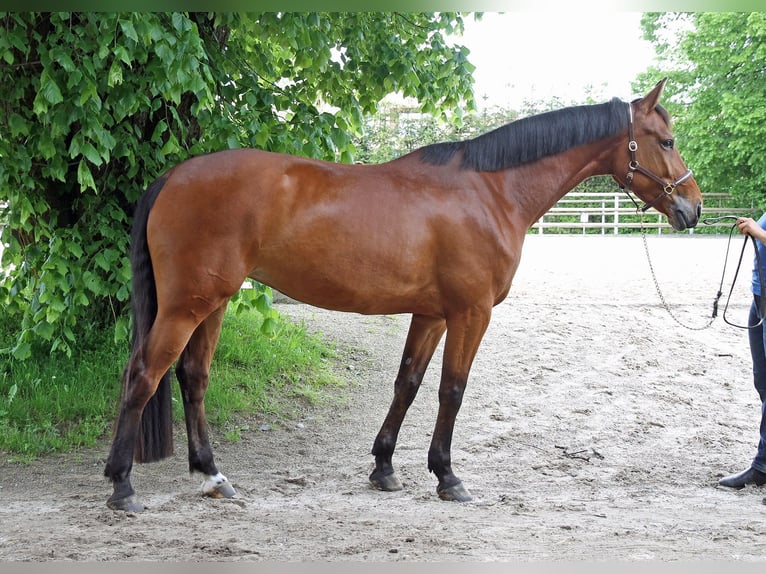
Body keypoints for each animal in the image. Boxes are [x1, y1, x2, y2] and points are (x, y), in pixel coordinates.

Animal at [105, 77, 704, 512]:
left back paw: (213, 476)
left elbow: (408, 384)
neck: (490, 191)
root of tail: (174, 176)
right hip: (187, 306)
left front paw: (384, 468)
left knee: (193, 377)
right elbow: (451, 391)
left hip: (212, 303)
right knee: (144, 375)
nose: (692, 208)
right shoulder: (471, 313)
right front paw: (448, 476)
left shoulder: (432, 313)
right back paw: (122, 486)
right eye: (667, 141)